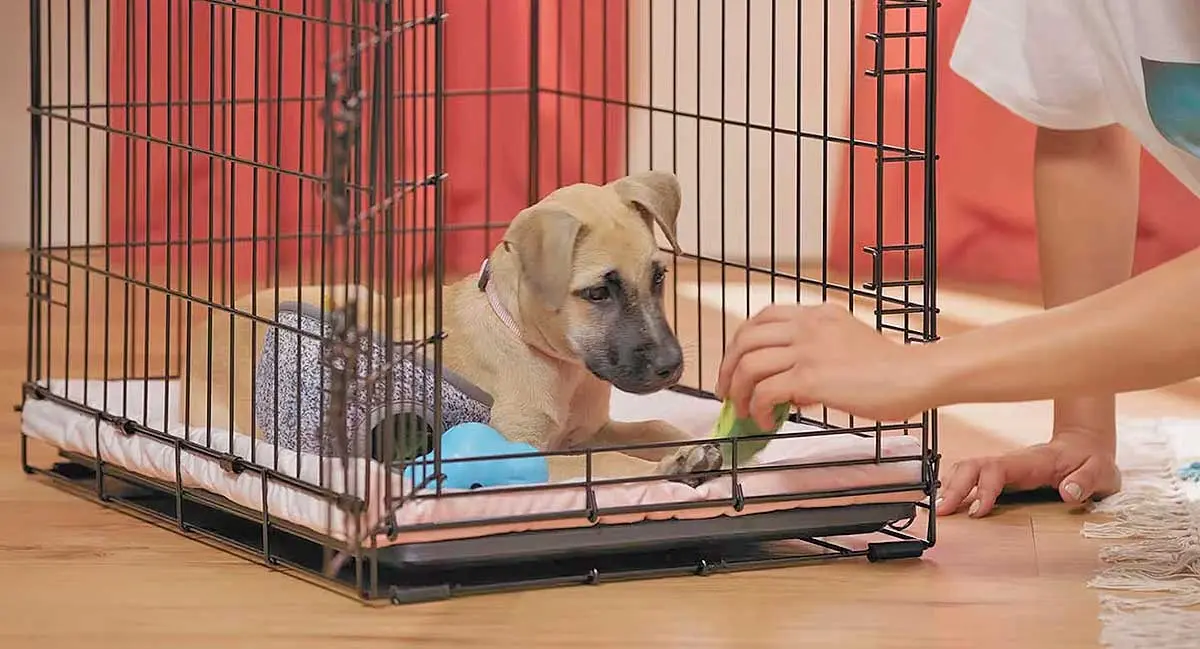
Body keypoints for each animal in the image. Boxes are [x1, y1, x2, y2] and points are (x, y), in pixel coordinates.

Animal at [177, 169, 720, 482]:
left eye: (659, 277)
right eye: (598, 294)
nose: (672, 367)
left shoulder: (589, 431)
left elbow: (654, 425)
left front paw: (694, 448)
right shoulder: (530, 449)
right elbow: (602, 464)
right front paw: (667, 468)